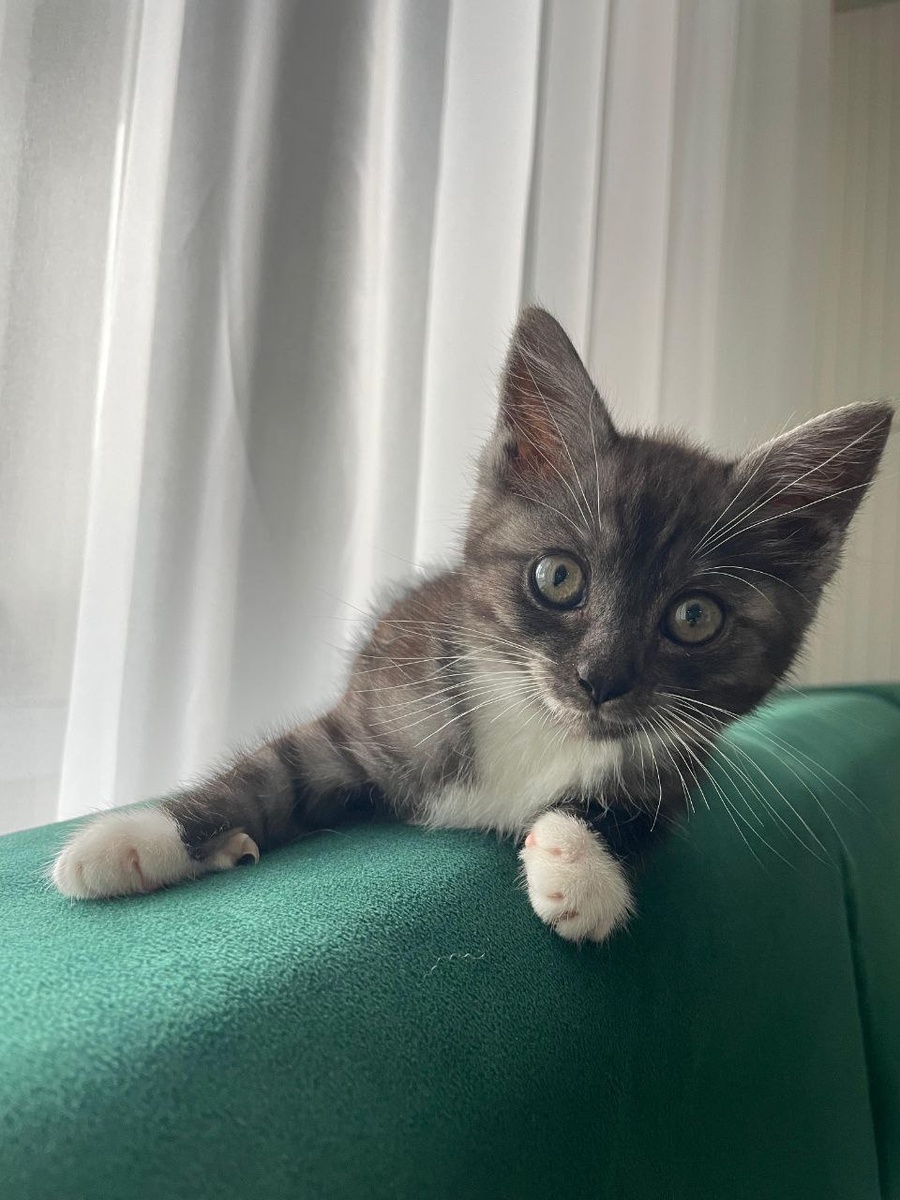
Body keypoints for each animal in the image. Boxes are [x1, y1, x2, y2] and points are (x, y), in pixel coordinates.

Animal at [51, 308, 893, 942]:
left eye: (694, 617)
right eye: (558, 578)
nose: (599, 679)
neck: (537, 720)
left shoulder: (680, 769)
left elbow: (630, 816)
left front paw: (581, 866)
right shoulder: (375, 707)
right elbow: (271, 768)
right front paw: (134, 838)